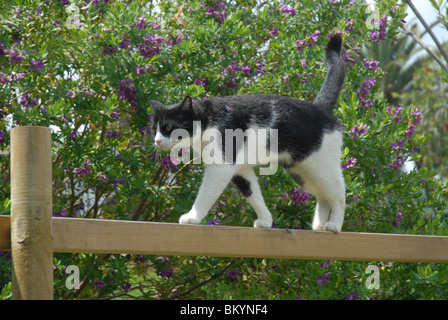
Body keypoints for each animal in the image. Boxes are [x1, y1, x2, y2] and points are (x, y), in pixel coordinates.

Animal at [150, 33, 346, 232]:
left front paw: (193, 217)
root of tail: (321, 108)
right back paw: (319, 226)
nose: (157, 141)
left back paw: (334, 225)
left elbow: (205, 195)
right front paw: (266, 220)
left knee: (339, 194)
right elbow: (253, 194)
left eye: (168, 128)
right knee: (323, 195)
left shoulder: (221, 166)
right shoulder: (241, 169)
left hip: (321, 166)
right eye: (154, 129)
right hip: (301, 171)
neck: (207, 119)